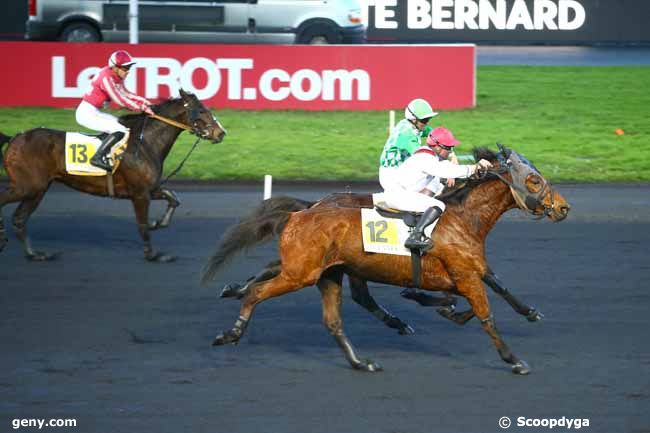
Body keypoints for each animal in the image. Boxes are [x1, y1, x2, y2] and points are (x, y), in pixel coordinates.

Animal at [0, 88, 225, 260]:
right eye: (202, 110)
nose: (221, 133)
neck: (145, 143)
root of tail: (15, 138)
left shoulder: (148, 188)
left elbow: (174, 198)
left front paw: (158, 223)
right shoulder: (139, 194)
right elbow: (142, 224)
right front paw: (152, 254)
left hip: (38, 189)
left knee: (19, 219)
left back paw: (34, 254)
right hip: (27, 186)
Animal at [202, 146, 568, 374]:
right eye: (534, 179)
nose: (564, 207)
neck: (462, 218)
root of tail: (298, 214)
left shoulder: (464, 272)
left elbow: (491, 289)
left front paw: (528, 312)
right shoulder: (463, 274)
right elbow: (485, 314)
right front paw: (513, 359)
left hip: (326, 272)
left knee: (333, 317)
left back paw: (362, 361)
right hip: (302, 273)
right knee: (261, 291)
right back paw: (231, 331)